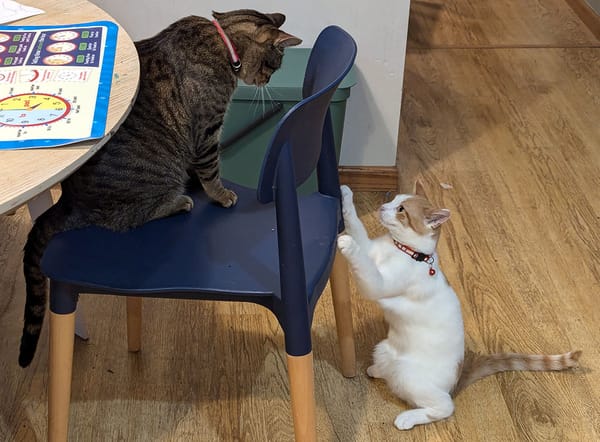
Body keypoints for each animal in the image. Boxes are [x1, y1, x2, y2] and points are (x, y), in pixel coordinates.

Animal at [19, 10, 302, 368]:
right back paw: (179, 202)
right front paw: (221, 194)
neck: (221, 39)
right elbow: (212, 171)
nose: (266, 81)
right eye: (273, 66)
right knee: (129, 218)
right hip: (156, 179)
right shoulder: (207, 131)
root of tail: (69, 202)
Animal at [338, 184, 580, 432]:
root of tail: (460, 374)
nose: (382, 207)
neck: (404, 250)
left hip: (409, 376)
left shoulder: (377, 284)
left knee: (445, 406)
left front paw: (347, 244)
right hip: (383, 349)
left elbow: (364, 264)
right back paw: (376, 370)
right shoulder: (370, 249)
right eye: (392, 198)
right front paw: (346, 195)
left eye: (401, 209)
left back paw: (407, 418)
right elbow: (355, 225)